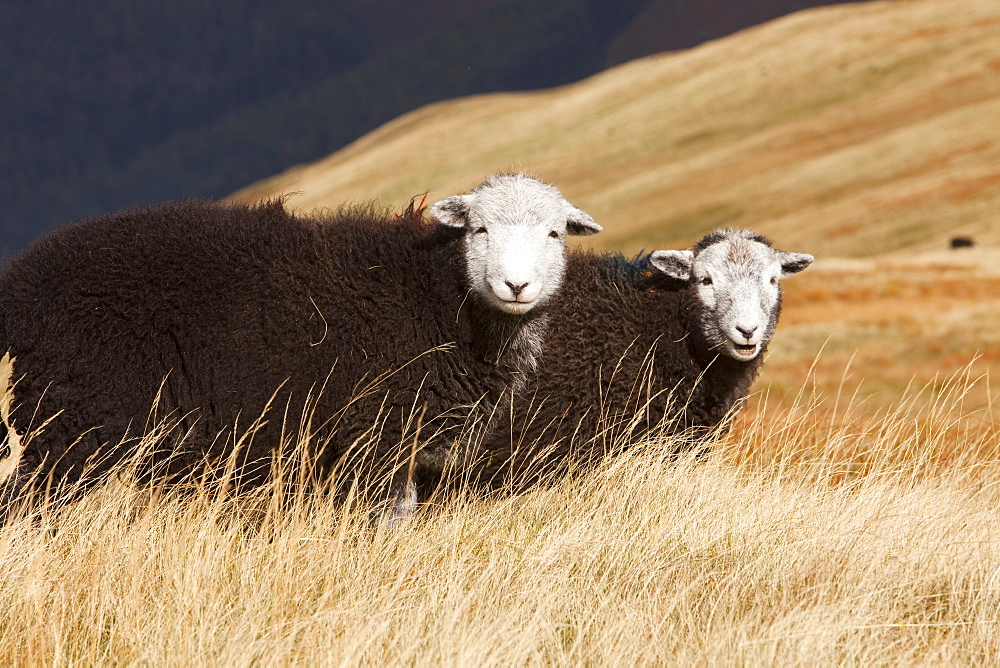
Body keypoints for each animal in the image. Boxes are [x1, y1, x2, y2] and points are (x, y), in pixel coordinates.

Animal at [0, 174, 600, 512]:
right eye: (479, 230)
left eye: (554, 233)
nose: (516, 286)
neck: (437, 298)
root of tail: (21, 283)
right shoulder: (373, 438)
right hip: (79, 421)